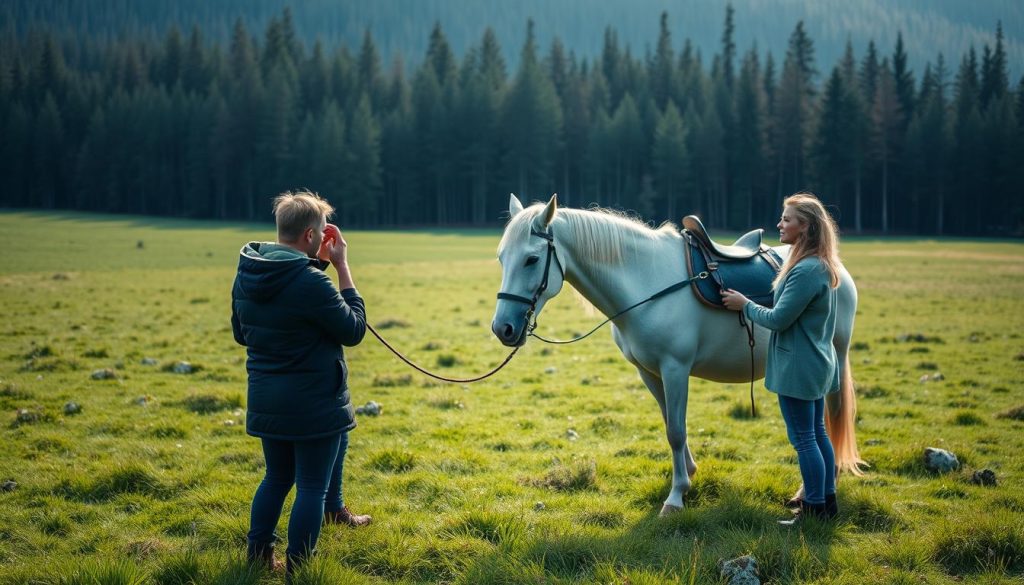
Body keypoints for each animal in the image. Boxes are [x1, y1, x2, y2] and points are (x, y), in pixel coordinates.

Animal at [491, 194, 860, 514]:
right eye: (501, 258)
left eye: (532, 259)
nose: (503, 328)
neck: (646, 282)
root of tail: (838, 269)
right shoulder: (649, 371)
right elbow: (670, 423)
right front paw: (689, 474)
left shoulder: (675, 369)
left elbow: (676, 431)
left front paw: (676, 496)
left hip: (833, 363)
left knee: (830, 421)